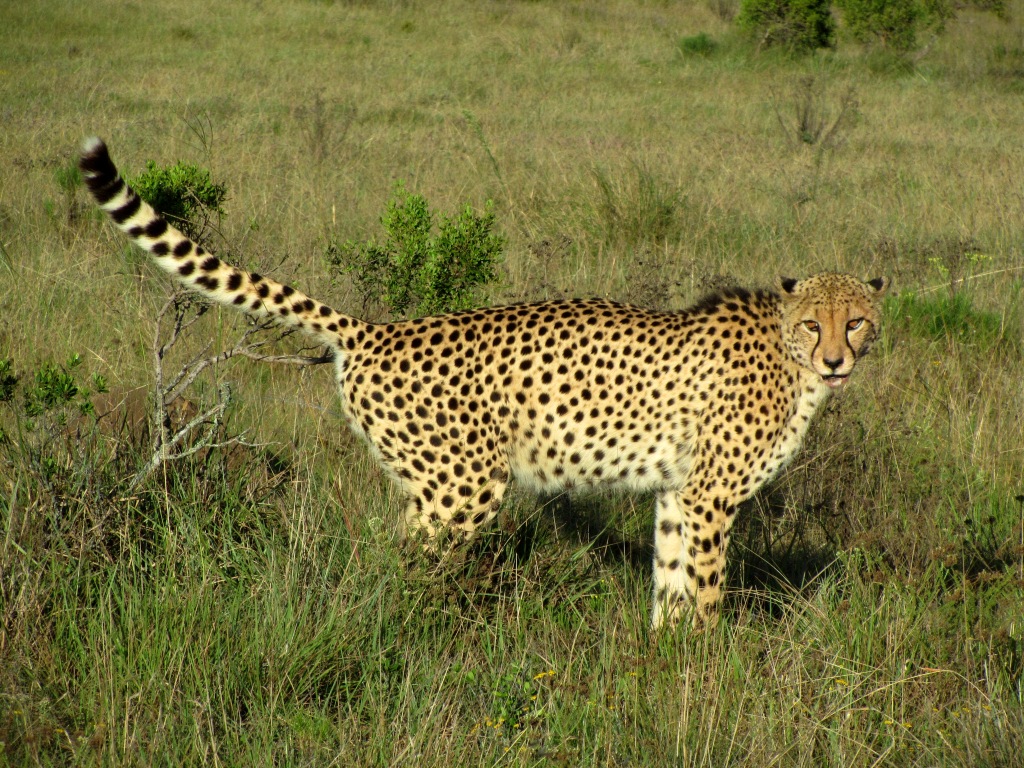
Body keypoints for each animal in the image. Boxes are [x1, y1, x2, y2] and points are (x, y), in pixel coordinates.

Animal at [80, 137, 888, 629]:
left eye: (856, 322)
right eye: (815, 325)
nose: (836, 362)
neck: (786, 355)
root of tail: (377, 330)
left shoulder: (676, 491)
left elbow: (670, 581)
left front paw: (665, 662)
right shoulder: (711, 496)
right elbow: (708, 591)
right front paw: (713, 672)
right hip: (461, 486)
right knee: (393, 559)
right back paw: (402, 627)